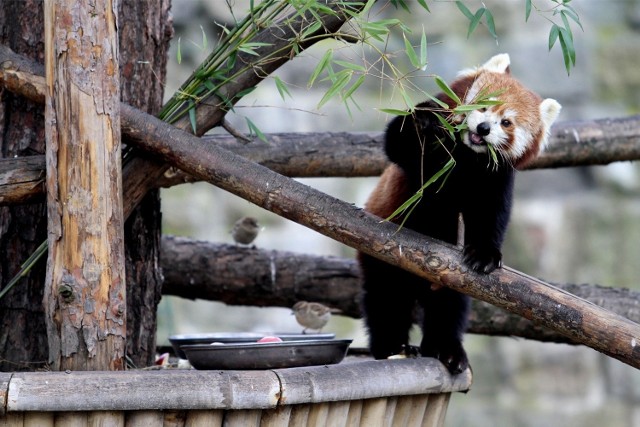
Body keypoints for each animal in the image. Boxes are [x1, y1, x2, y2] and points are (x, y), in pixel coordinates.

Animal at [358, 52, 564, 374]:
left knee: (448, 308)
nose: (483, 129)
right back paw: (392, 346)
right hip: (382, 257)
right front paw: (425, 122)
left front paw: (484, 255)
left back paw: (446, 350)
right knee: (387, 299)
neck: (469, 156)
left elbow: (490, 217)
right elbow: (399, 140)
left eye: (506, 122)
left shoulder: (495, 178)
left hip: (449, 281)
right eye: (483, 106)